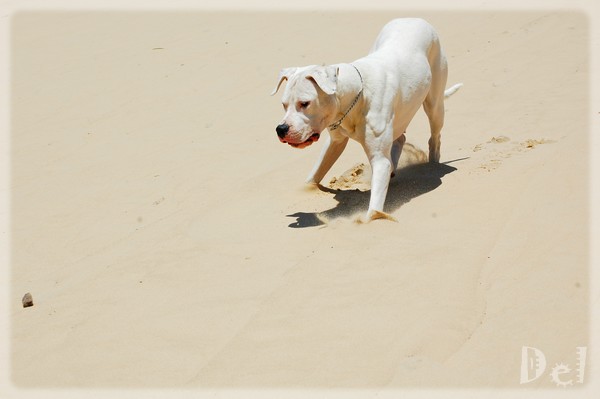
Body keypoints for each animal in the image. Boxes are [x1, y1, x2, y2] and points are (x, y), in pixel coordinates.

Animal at [272, 18, 464, 222]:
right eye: (284, 104)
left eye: (305, 103)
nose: (281, 129)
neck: (356, 96)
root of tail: (415, 19)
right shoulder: (335, 142)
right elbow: (315, 174)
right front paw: (305, 189)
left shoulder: (379, 159)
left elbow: (374, 208)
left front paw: (370, 220)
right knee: (400, 137)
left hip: (435, 104)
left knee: (435, 136)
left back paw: (432, 165)